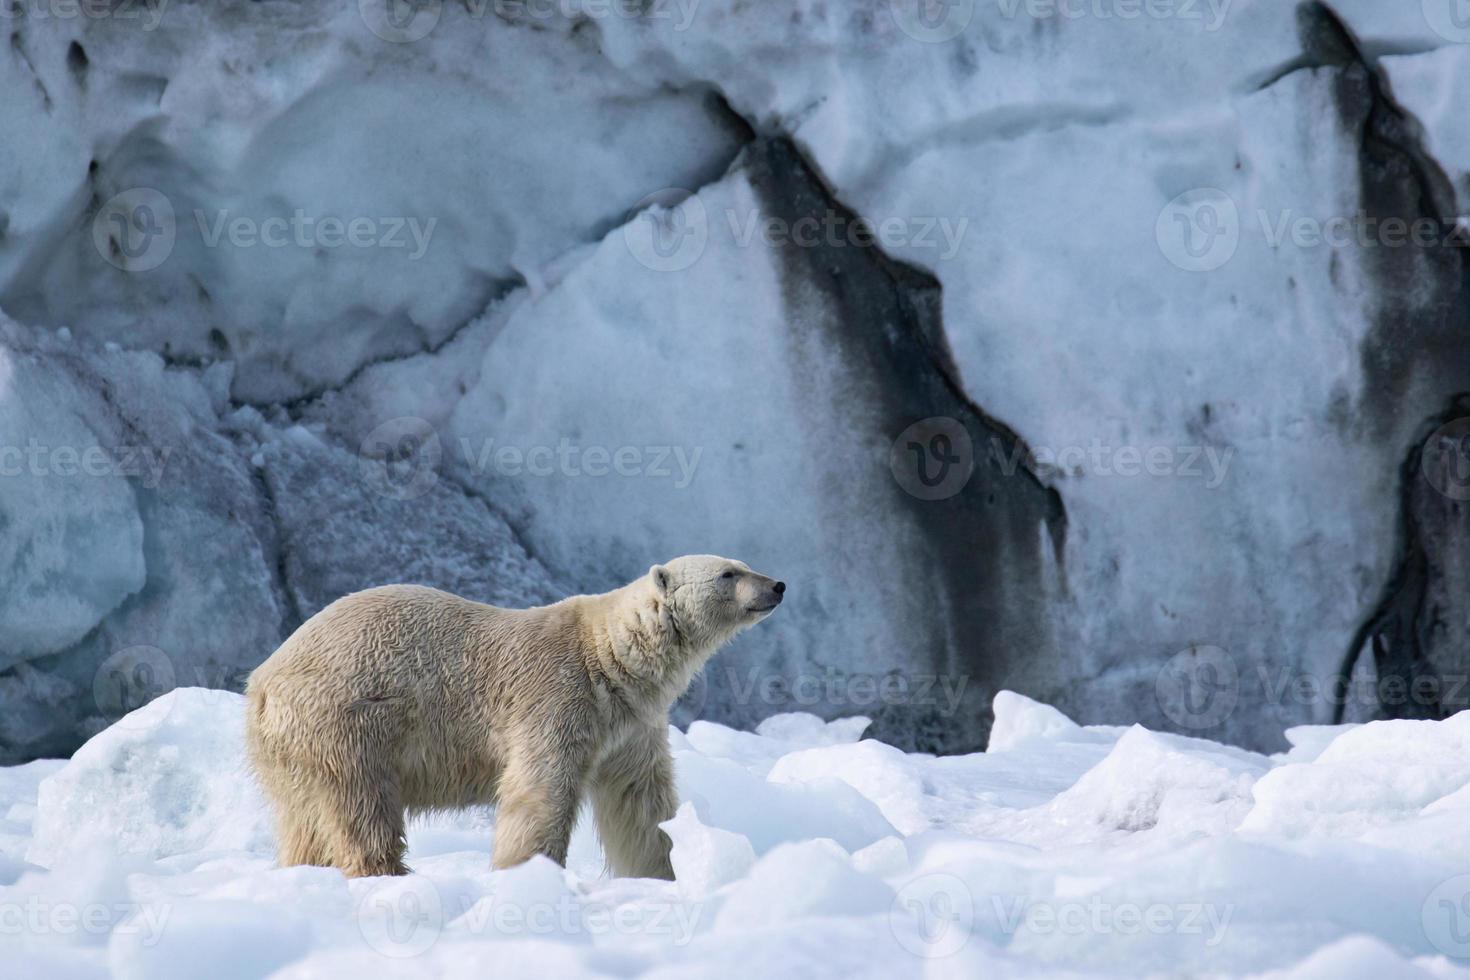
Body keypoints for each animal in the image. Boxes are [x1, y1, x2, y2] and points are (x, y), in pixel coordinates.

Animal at [246, 558, 787, 881]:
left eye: (743, 564)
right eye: (729, 573)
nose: (778, 584)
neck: (609, 655)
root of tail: (263, 682)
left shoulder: (631, 723)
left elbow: (640, 801)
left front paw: (667, 869)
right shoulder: (557, 696)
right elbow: (541, 790)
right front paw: (530, 875)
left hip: (290, 748)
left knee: (304, 819)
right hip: (347, 719)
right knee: (362, 806)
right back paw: (385, 873)